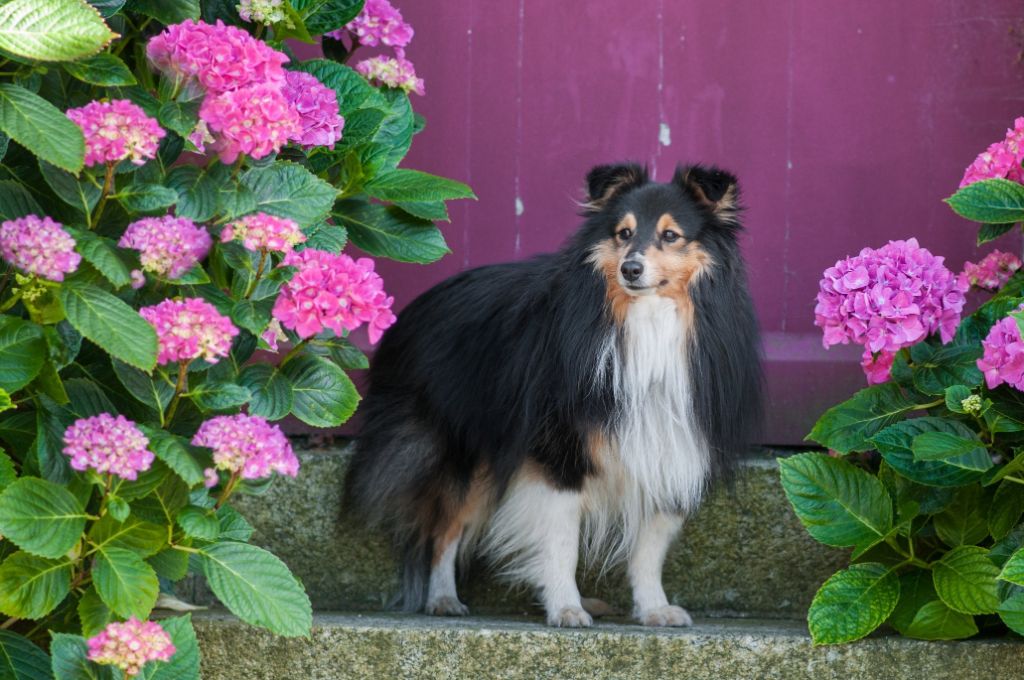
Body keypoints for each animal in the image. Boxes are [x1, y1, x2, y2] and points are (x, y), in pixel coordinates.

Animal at [348, 163, 765, 626]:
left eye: (671, 235)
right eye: (623, 233)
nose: (630, 269)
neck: (645, 321)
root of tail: (406, 312)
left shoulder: (674, 444)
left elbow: (650, 546)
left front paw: (654, 608)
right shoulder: (559, 452)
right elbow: (561, 540)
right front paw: (565, 607)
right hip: (465, 451)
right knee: (444, 528)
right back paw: (443, 598)